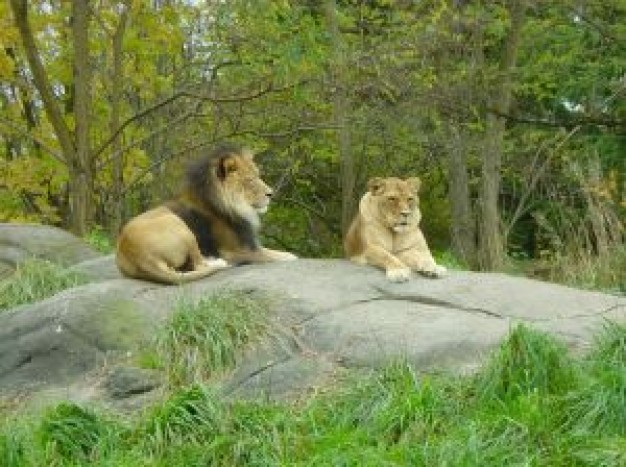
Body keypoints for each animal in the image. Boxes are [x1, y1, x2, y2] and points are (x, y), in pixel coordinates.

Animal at [116, 144, 296, 286]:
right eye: (250, 180)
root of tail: (140, 257)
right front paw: (290, 256)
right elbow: (278, 255)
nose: (271, 194)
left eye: (258, 176)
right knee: (200, 264)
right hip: (180, 226)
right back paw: (217, 262)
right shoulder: (237, 250)